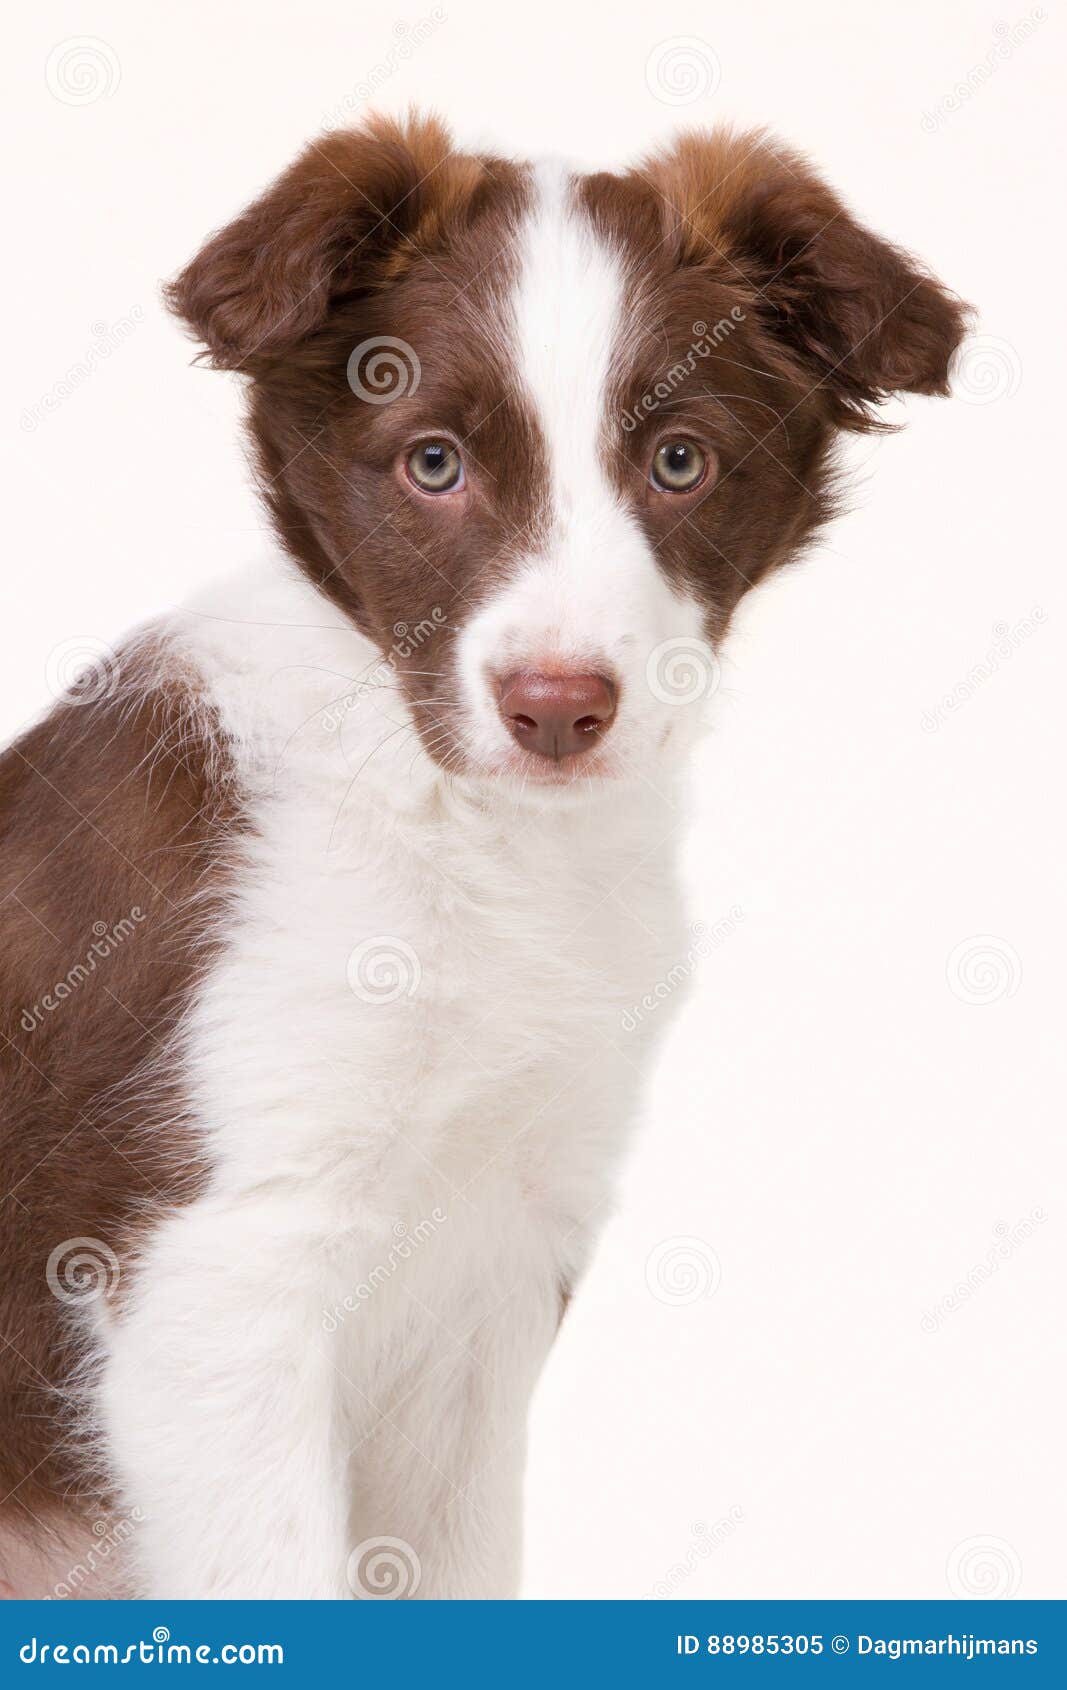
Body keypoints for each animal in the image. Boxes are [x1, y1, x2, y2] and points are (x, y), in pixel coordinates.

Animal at [0, 119, 967, 1595]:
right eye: (432, 463)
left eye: (677, 463)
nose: (556, 709)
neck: (459, 828)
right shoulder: (208, 1281)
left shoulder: (497, 1262)